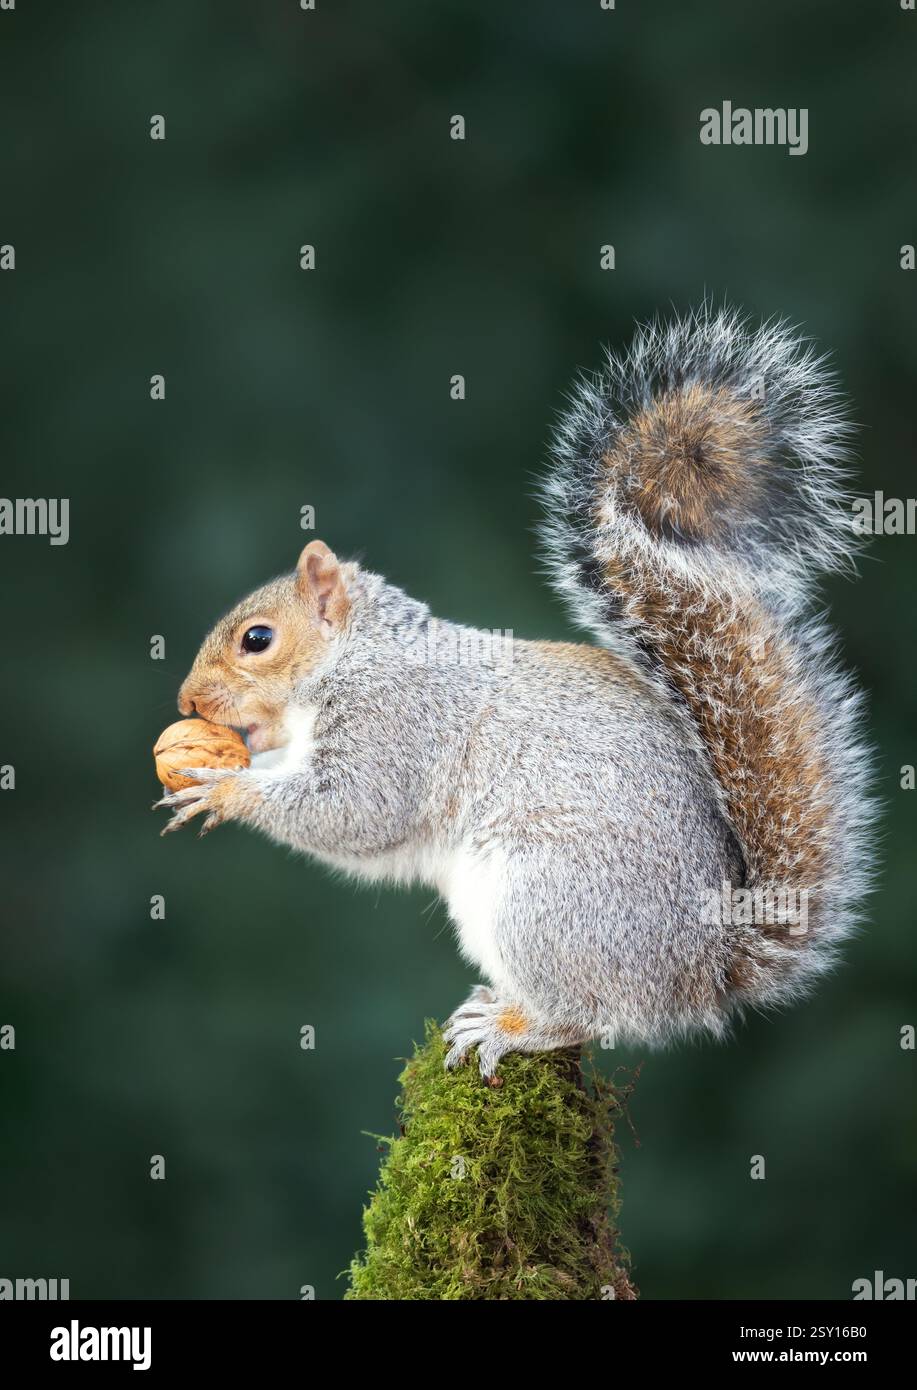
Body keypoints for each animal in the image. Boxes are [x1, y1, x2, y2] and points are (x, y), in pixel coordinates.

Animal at [156, 306, 874, 1077]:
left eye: (257, 640)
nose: (187, 704)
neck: (359, 655)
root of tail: (702, 970)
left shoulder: (397, 721)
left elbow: (356, 809)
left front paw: (226, 791)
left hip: (544, 903)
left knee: (589, 1014)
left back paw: (512, 1025)